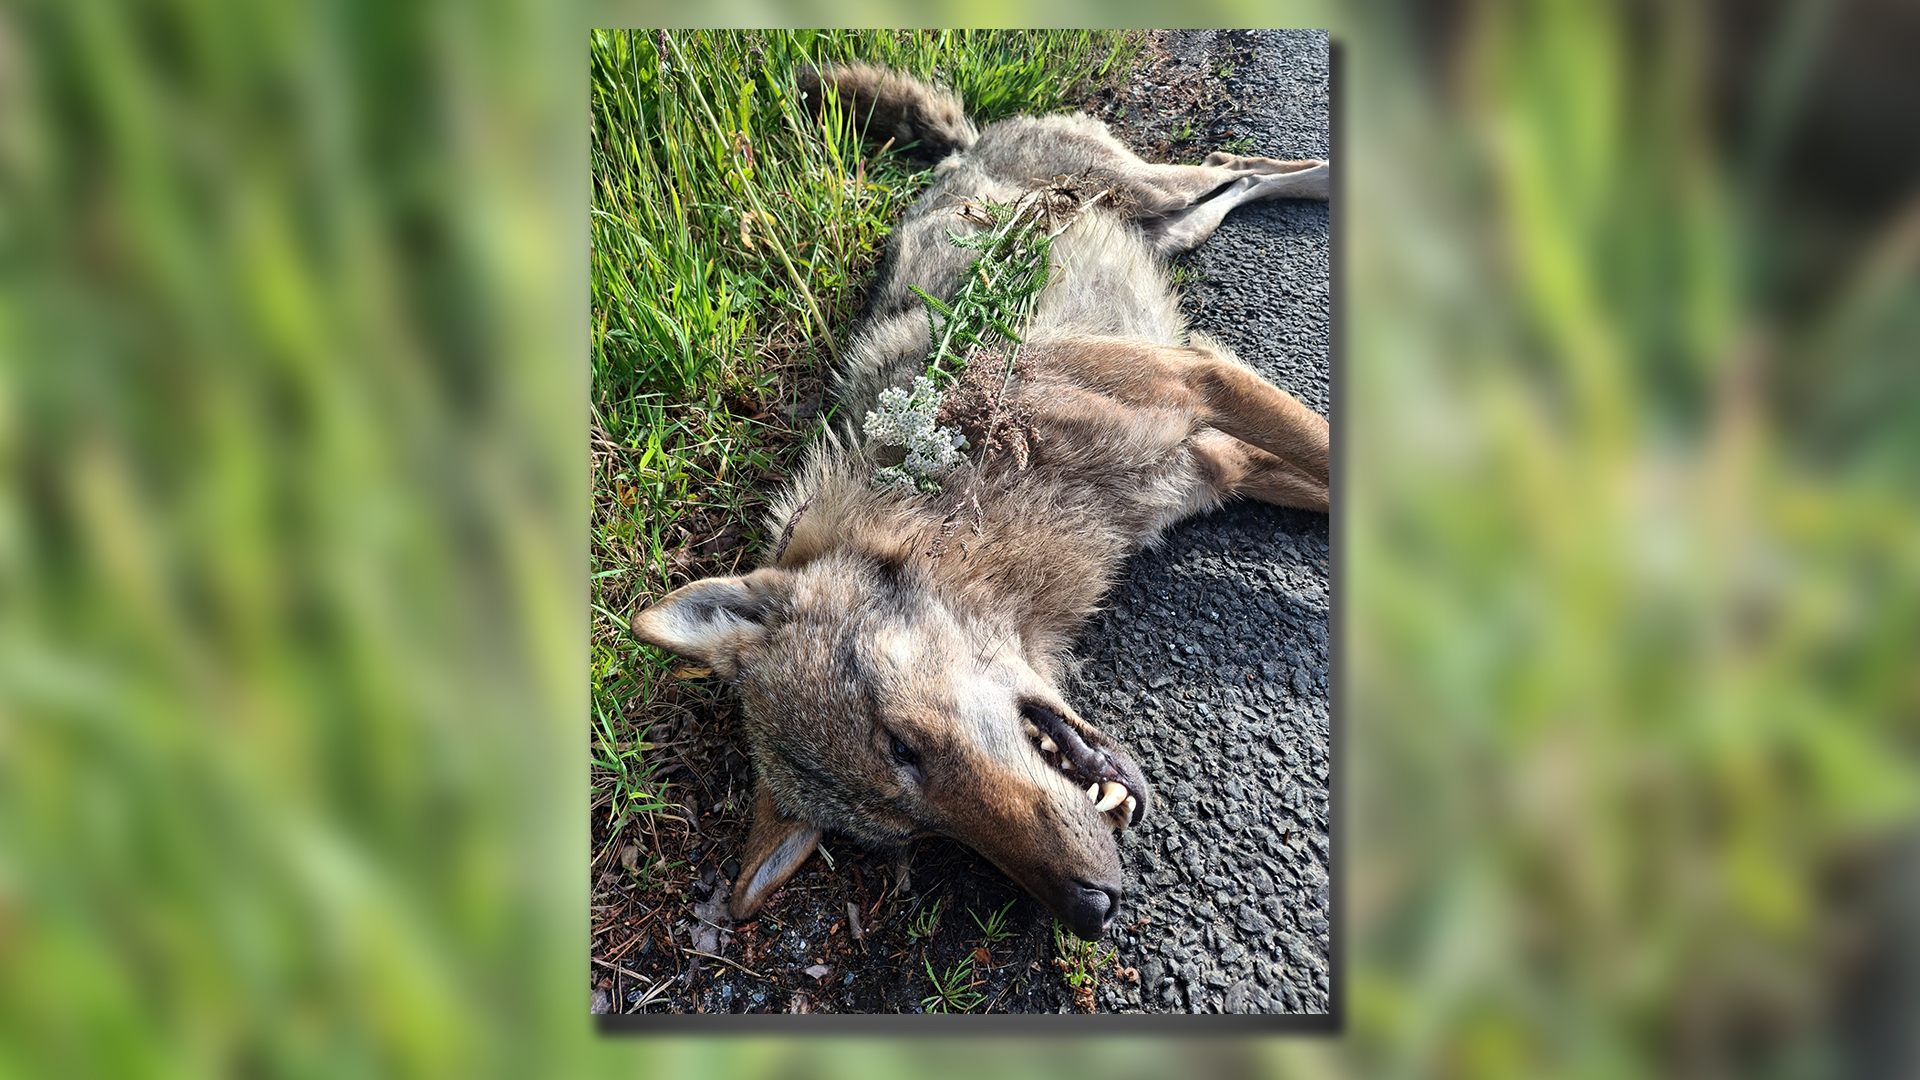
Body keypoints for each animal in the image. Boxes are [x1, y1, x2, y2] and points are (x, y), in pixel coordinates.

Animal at [636, 63, 1330, 941]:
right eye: (920, 836)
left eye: (901, 744)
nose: (1091, 911)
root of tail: (959, 154)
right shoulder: (1221, 463)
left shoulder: (1204, 385)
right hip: (1173, 228)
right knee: (1230, 178)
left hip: (1149, 189)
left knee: (1235, 163)